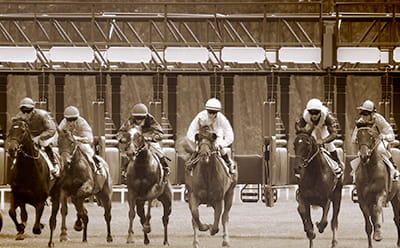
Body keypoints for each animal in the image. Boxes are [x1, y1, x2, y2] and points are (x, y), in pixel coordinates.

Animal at [6, 117, 61, 247]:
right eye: (10, 130)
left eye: (22, 131)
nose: (11, 149)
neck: (27, 170)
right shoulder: (18, 196)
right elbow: (13, 213)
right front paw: (20, 228)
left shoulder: (40, 200)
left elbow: (36, 227)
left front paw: (39, 227)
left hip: (56, 194)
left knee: (53, 220)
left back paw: (50, 242)